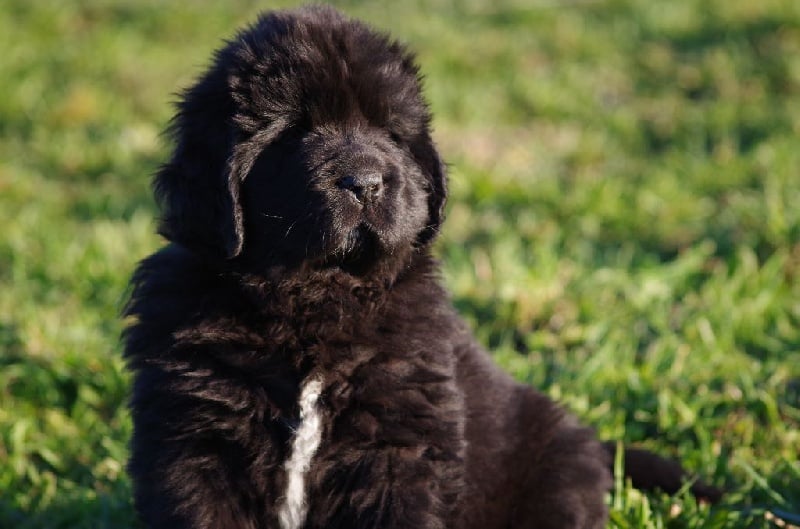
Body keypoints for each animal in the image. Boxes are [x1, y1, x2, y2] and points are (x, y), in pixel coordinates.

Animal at [126, 5, 720, 528]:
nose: (366, 182)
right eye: (293, 131)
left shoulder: (398, 449)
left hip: (554, 474)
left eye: (391, 132)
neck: (315, 298)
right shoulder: (193, 442)